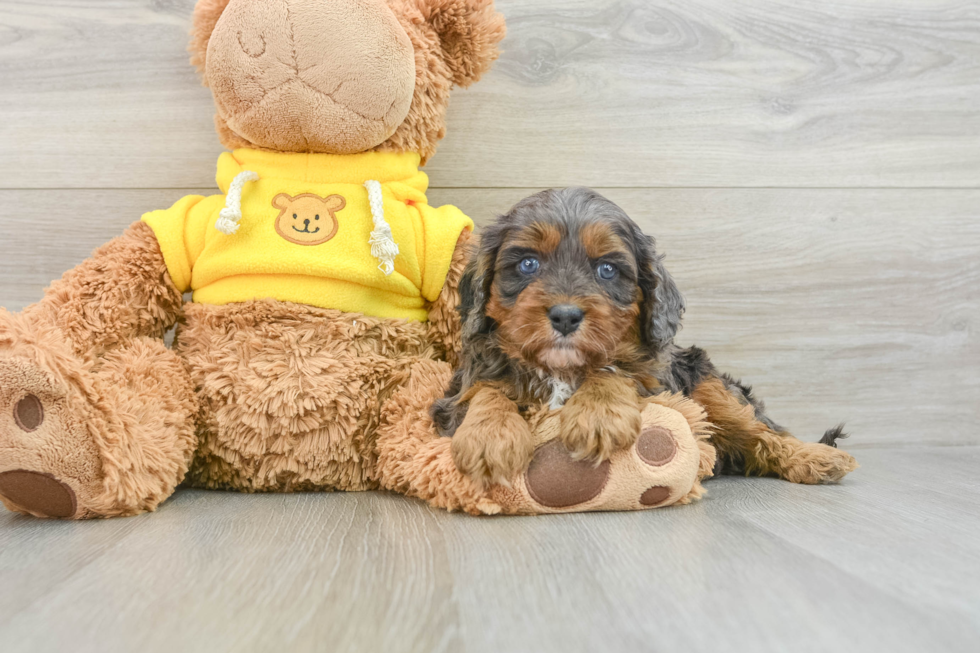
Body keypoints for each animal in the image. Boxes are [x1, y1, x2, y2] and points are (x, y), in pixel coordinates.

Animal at [436, 186, 856, 486]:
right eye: (527, 264)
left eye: (607, 270)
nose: (566, 316)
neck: (562, 370)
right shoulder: (456, 393)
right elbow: (485, 391)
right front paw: (490, 437)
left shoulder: (661, 387)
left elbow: (615, 370)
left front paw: (598, 414)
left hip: (705, 380)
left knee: (760, 431)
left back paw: (815, 457)